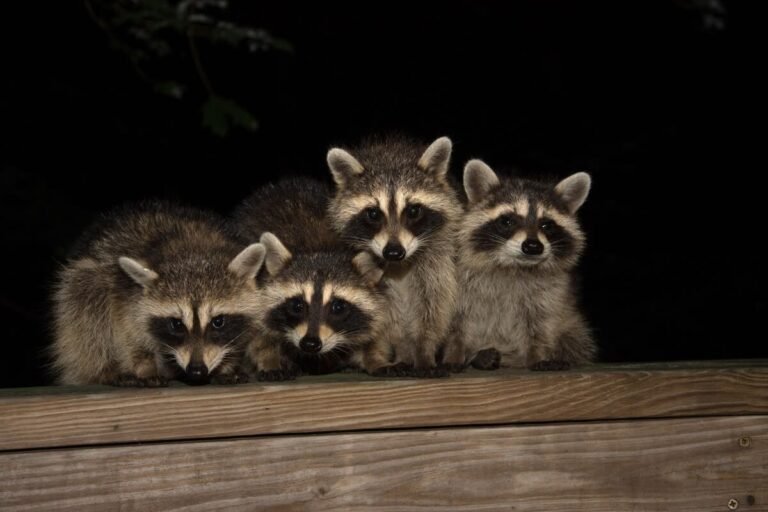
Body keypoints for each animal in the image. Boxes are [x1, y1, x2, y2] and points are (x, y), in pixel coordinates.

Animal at [51, 201, 266, 386]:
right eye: (176, 324)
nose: (196, 370)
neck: (192, 250)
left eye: (218, 321)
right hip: (85, 280)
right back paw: (104, 369)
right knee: (87, 309)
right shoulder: (126, 294)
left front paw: (226, 366)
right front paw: (144, 366)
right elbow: (130, 336)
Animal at [232, 178, 397, 379]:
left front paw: (376, 358)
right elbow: (258, 336)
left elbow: (375, 331)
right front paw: (269, 361)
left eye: (338, 307)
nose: (310, 344)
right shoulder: (257, 293)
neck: (320, 248)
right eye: (297, 305)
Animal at [326, 136, 462, 377]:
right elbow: (383, 318)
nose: (393, 252)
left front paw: (424, 350)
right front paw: (395, 353)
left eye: (413, 211)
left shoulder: (437, 262)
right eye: (373, 213)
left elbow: (433, 308)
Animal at [445, 159, 596, 371]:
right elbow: (455, 325)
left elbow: (541, 325)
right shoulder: (459, 284)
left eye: (546, 225)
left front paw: (539, 355)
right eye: (507, 221)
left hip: (573, 326)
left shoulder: (550, 293)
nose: (533, 246)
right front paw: (454, 354)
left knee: (575, 339)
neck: (513, 267)